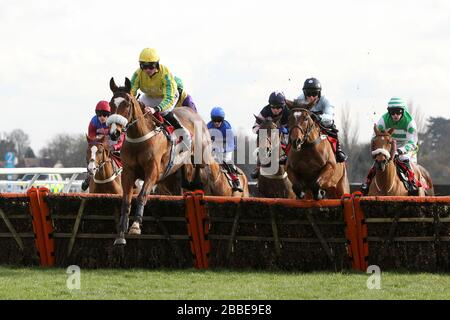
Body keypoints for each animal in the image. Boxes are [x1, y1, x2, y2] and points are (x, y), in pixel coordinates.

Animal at [106, 77, 212, 245]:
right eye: (111, 104)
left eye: (127, 104)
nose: (114, 133)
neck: (140, 137)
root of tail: (193, 113)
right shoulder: (128, 173)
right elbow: (126, 201)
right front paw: (121, 234)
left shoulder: (153, 172)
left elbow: (142, 195)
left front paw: (136, 225)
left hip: (199, 157)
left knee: (198, 172)